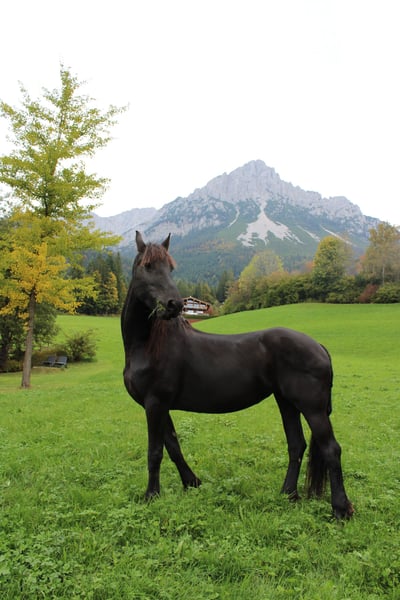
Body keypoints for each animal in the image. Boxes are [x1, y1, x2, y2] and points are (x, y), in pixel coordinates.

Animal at [121, 231, 354, 519]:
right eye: (148, 266)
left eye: (170, 268)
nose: (175, 304)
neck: (147, 345)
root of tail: (319, 346)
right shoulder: (158, 406)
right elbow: (173, 446)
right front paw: (191, 483)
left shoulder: (155, 403)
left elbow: (155, 452)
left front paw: (151, 496)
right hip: (286, 402)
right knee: (296, 445)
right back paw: (288, 494)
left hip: (313, 408)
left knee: (331, 449)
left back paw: (341, 509)